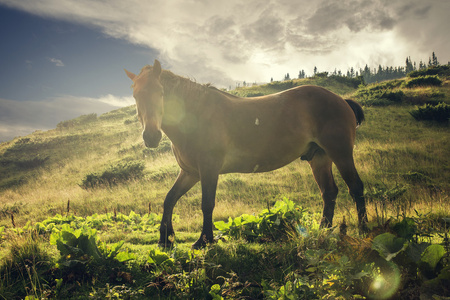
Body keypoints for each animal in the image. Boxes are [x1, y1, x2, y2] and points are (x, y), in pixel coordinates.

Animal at [125, 59, 368, 248]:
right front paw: (165, 239)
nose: (151, 137)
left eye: (160, 93)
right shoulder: (190, 172)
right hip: (319, 158)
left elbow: (207, 204)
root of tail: (341, 100)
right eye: (135, 96)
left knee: (355, 187)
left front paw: (204, 240)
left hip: (341, 153)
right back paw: (322, 231)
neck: (196, 115)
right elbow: (169, 199)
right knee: (329, 192)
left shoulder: (209, 169)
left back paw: (364, 230)